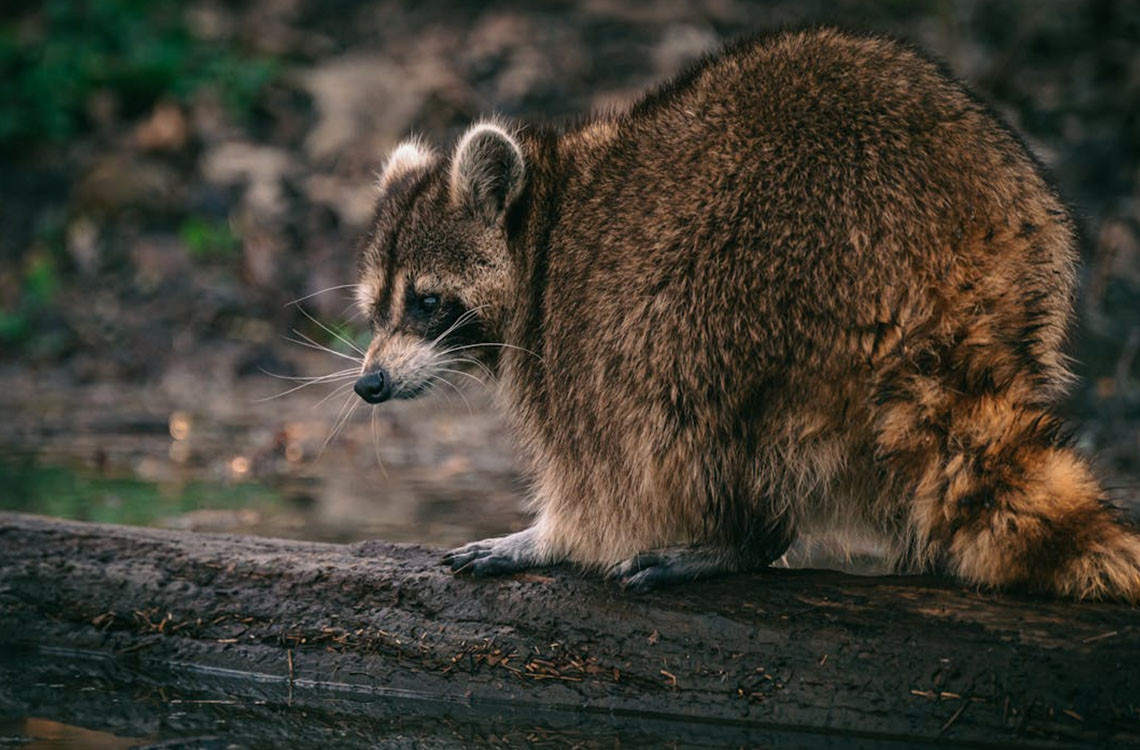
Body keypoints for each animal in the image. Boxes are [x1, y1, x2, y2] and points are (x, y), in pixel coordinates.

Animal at [351, 28, 1140, 601]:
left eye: (427, 302)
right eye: (375, 311)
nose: (369, 384)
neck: (544, 219)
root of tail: (949, 258)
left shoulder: (573, 327)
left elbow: (600, 480)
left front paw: (551, 538)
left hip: (761, 283)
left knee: (674, 400)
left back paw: (742, 539)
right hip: (1035, 260)